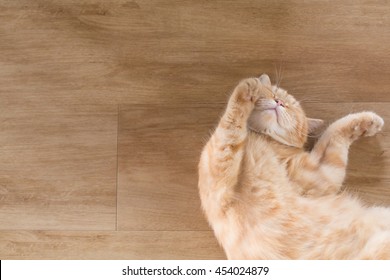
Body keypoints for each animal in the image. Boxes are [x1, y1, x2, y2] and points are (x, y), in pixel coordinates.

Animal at [198, 75, 390, 260]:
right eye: (274, 93)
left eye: (291, 107)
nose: (279, 102)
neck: (264, 141)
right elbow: (230, 126)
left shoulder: (319, 175)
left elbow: (334, 131)